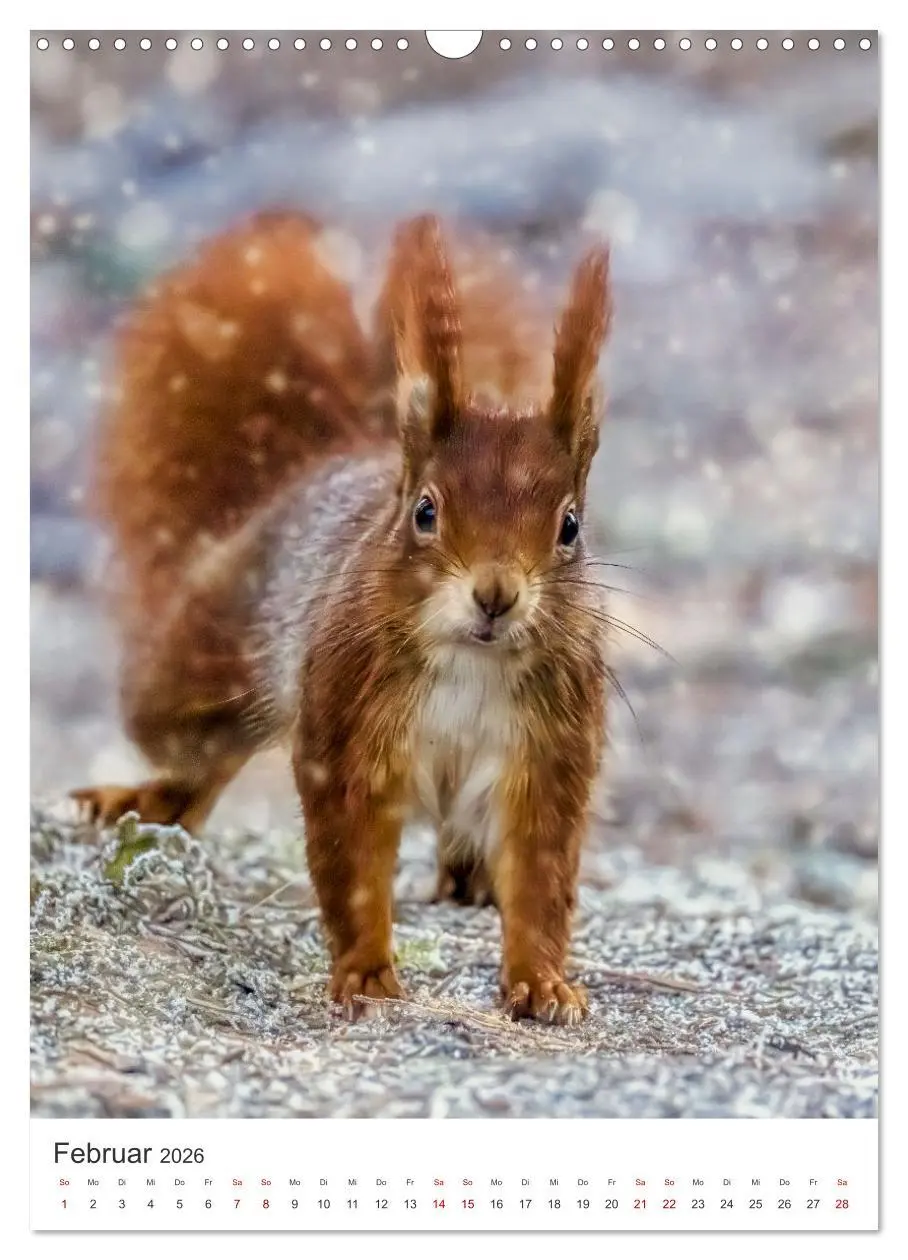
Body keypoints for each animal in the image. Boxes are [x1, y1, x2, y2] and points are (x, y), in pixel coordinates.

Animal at [71, 209, 613, 1025]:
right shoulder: (346, 725)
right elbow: (351, 859)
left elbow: (542, 875)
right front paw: (365, 973)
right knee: (203, 753)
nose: (495, 595)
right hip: (201, 666)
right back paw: (146, 801)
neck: (473, 661)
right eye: (425, 511)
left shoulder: (551, 746)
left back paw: (470, 876)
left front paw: (543, 982)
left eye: (570, 526)